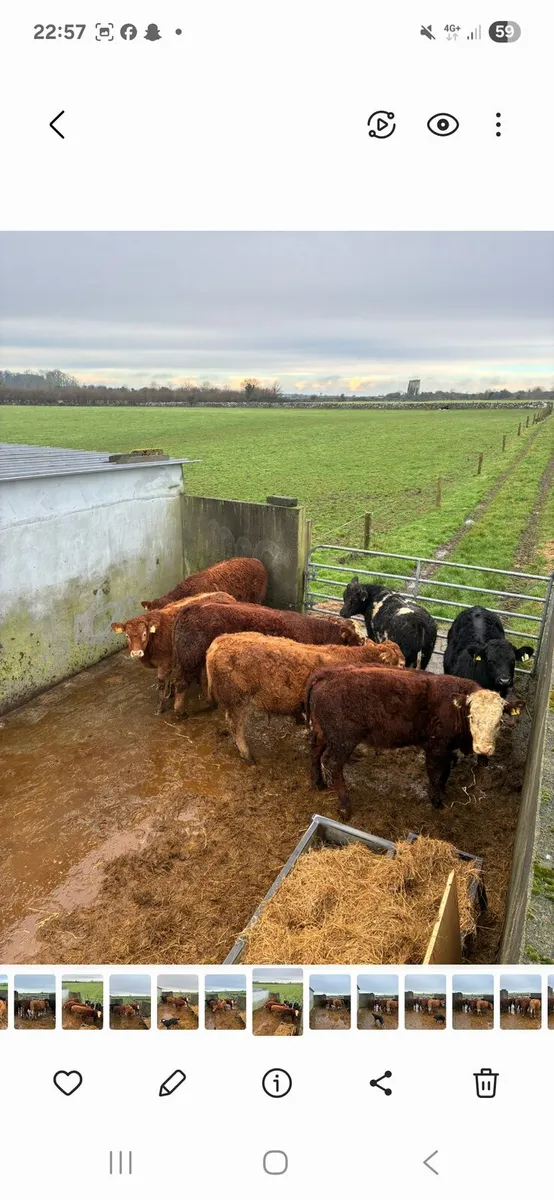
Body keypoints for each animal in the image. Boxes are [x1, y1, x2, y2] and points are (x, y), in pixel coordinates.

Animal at [172, 601, 362, 718]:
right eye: (359, 640)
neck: (313, 630)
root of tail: (190, 608)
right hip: (189, 658)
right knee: (181, 683)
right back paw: (180, 711)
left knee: (202, 679)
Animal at [305, 665, 521, 820]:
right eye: (472, 717)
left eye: (500, 721)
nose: (484, 748)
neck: (455, 709)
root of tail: (327, 673)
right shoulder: (436, 748)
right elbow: (436, 774)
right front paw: (436, 802)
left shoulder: (447, 749)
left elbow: (446, 772)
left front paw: (442, 791)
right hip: (344, 740)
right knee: (332, 763)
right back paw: (344, 807)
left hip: (323, 732)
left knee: (315, 751)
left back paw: (319, 783)